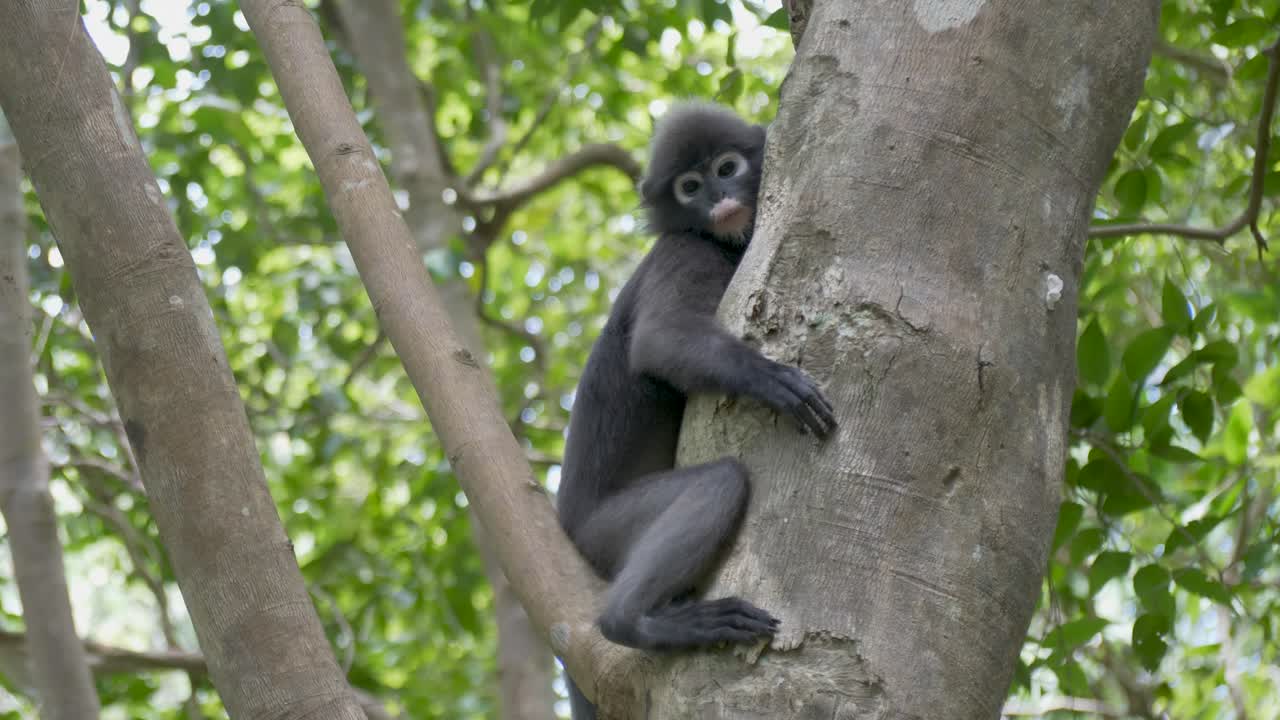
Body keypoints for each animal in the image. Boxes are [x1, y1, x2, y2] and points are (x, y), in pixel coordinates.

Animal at [555, 101, 838, 719]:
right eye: (689, 186)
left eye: (727, 168)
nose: (718, 197)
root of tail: (567, 524)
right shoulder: (685, 251)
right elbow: (661, 338)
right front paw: (770, 378)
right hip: (606, 530)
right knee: (720, 480)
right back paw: (636, 621)